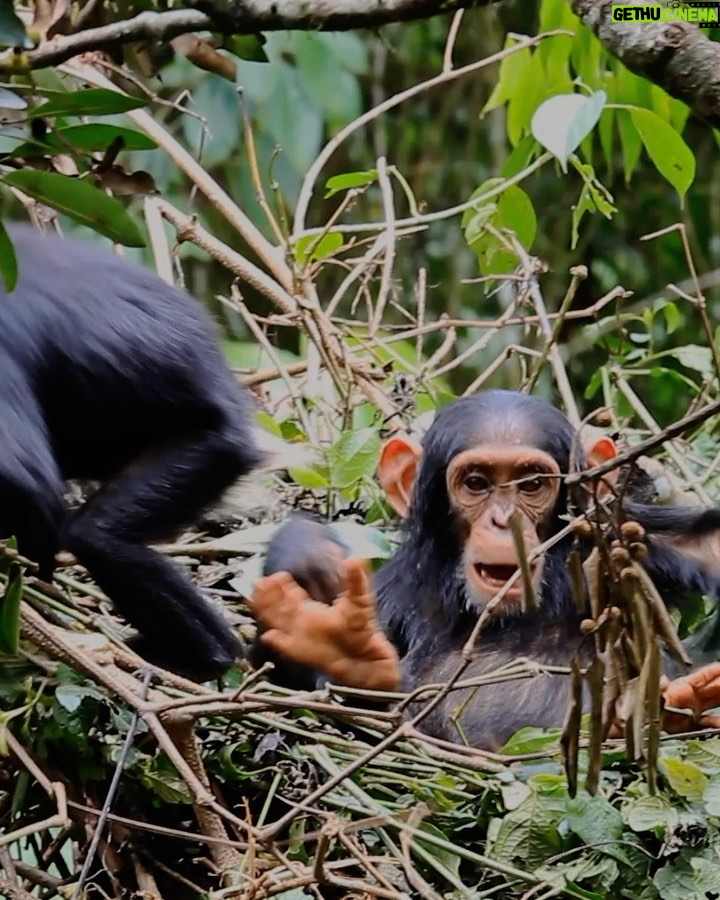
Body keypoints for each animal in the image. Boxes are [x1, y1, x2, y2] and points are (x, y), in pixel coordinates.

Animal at [253, 390, 720, 748]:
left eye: (532, 483)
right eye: (476, 483)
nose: (503, 519)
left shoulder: (637, 536)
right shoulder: (391, 595)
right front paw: (331, 634)